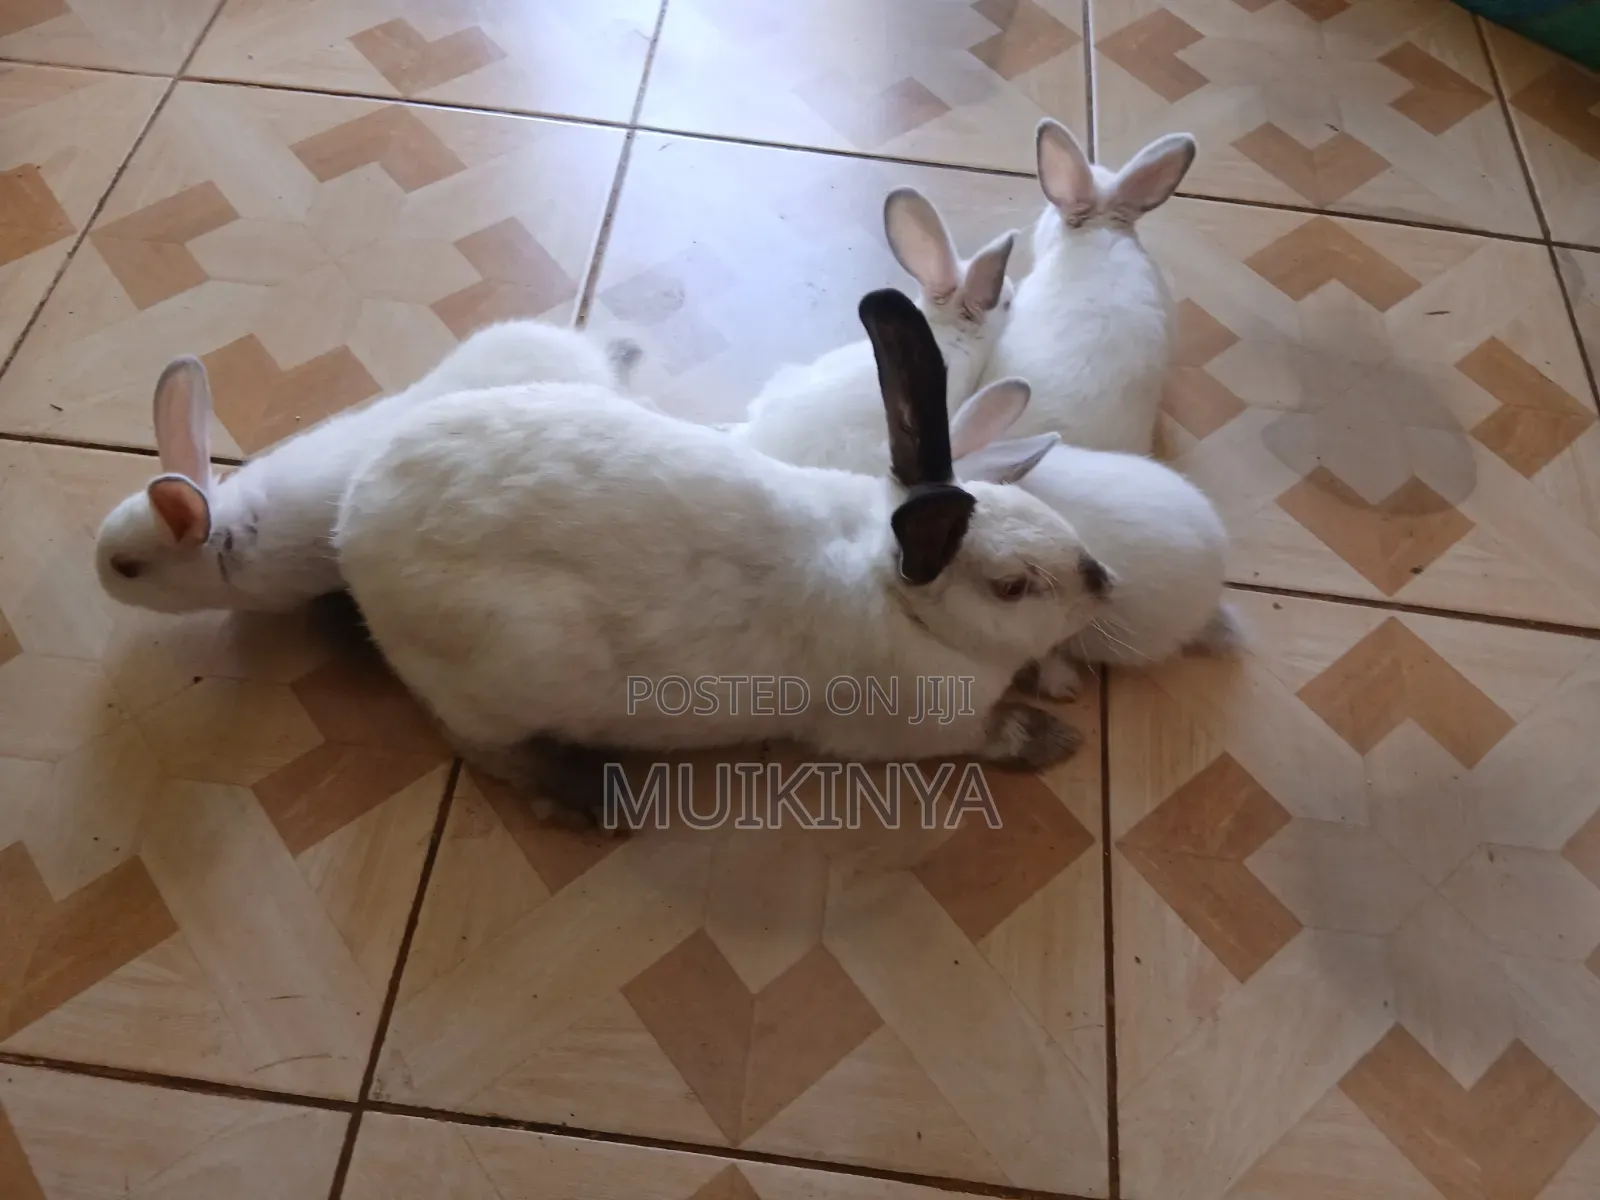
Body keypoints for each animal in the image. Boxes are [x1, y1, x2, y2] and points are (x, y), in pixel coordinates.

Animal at [333, 288, 1114, 825]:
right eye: (1011, 587)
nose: (1103, 582)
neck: (896, 598)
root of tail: (355, 528)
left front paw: (1060, 679)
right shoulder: (917, 728)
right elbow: (991, 732)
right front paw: (1054, 737)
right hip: (510, 669)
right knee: (477, 744)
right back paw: (585, 796)